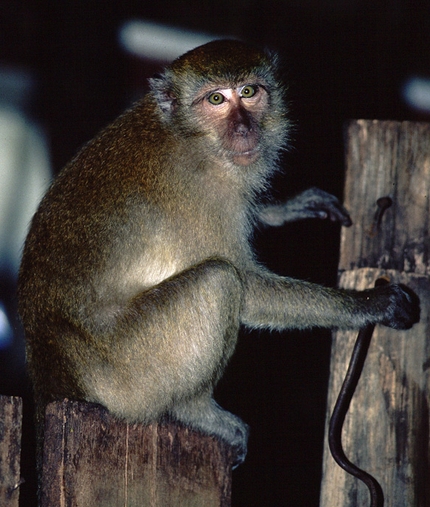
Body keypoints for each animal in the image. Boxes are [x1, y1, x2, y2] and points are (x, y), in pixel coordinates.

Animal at [17, 38, 420, 468]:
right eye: (216, 99)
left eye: (249, 91)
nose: (243, 128)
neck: (185, 135)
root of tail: (54, 380)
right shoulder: (198, 192)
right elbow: (247, 287)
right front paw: (370, 303)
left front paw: (283, 208)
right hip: (125, 376)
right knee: (219, 281)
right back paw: (193, 411)